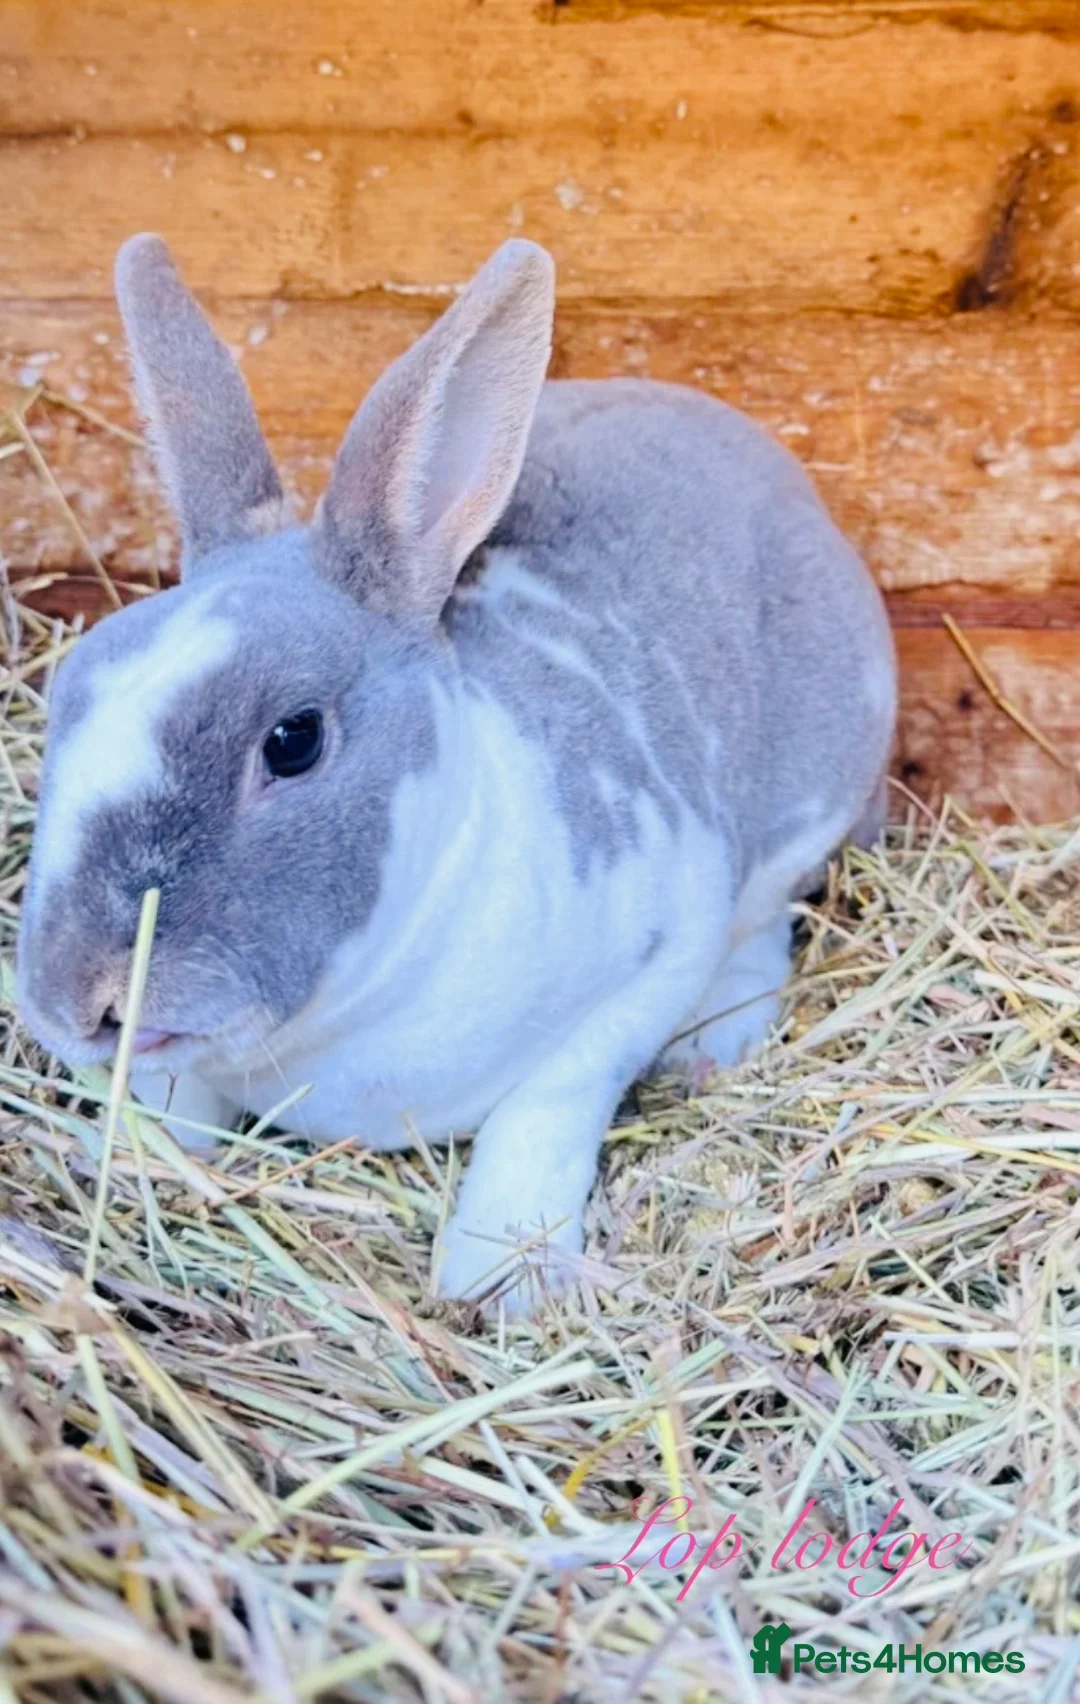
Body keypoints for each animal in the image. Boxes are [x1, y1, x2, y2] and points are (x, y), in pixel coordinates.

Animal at [16, 233, 896, 1312]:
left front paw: (501, 1281)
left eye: (293, 739)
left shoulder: (647, 963)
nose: (81, 1001)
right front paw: (139, 1164)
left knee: (765, 925)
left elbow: (543, 1111)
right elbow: (174, 1099)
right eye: (66, 695)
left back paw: (710, 1047)